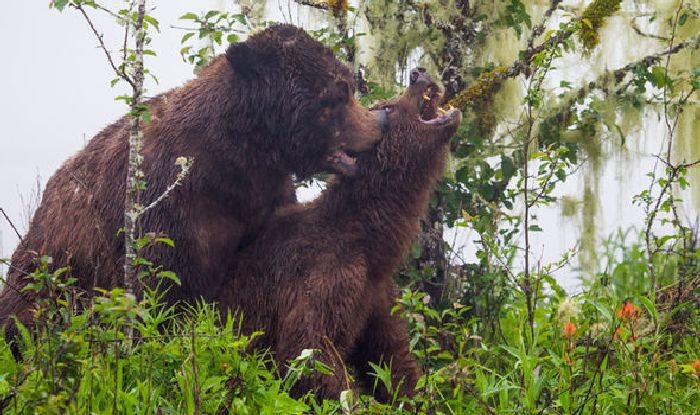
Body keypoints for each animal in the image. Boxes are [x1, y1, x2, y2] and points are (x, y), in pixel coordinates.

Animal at [0, 25, 382, 338]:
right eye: (336, 93)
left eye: (348, 83)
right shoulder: (169, 207)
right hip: (49, 272)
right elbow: (163, 292)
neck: (240, 155)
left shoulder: (261, 198)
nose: (379, 122)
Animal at [219, 72, 460, 404]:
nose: (418, 74)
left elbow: (393, 357)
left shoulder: (376, 294)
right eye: (389, 106)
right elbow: (308, 352)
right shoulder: (326, 275)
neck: (370, 239)